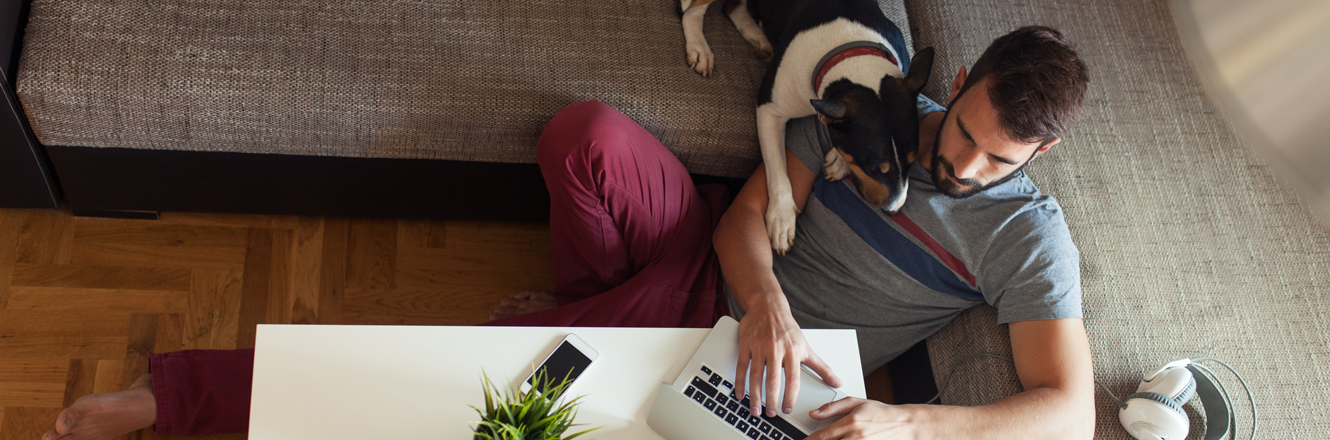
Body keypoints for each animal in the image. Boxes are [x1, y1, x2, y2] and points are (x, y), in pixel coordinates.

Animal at [675, 0, 936, 253]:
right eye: (873, 168)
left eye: (911, 161)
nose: (894, 210)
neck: (854, 59)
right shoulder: (769, 110)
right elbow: (777, 170)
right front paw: (781, 220)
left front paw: (839, 161)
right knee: (692, 11)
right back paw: (700, 48)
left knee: (732, 8)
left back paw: (759, 38)